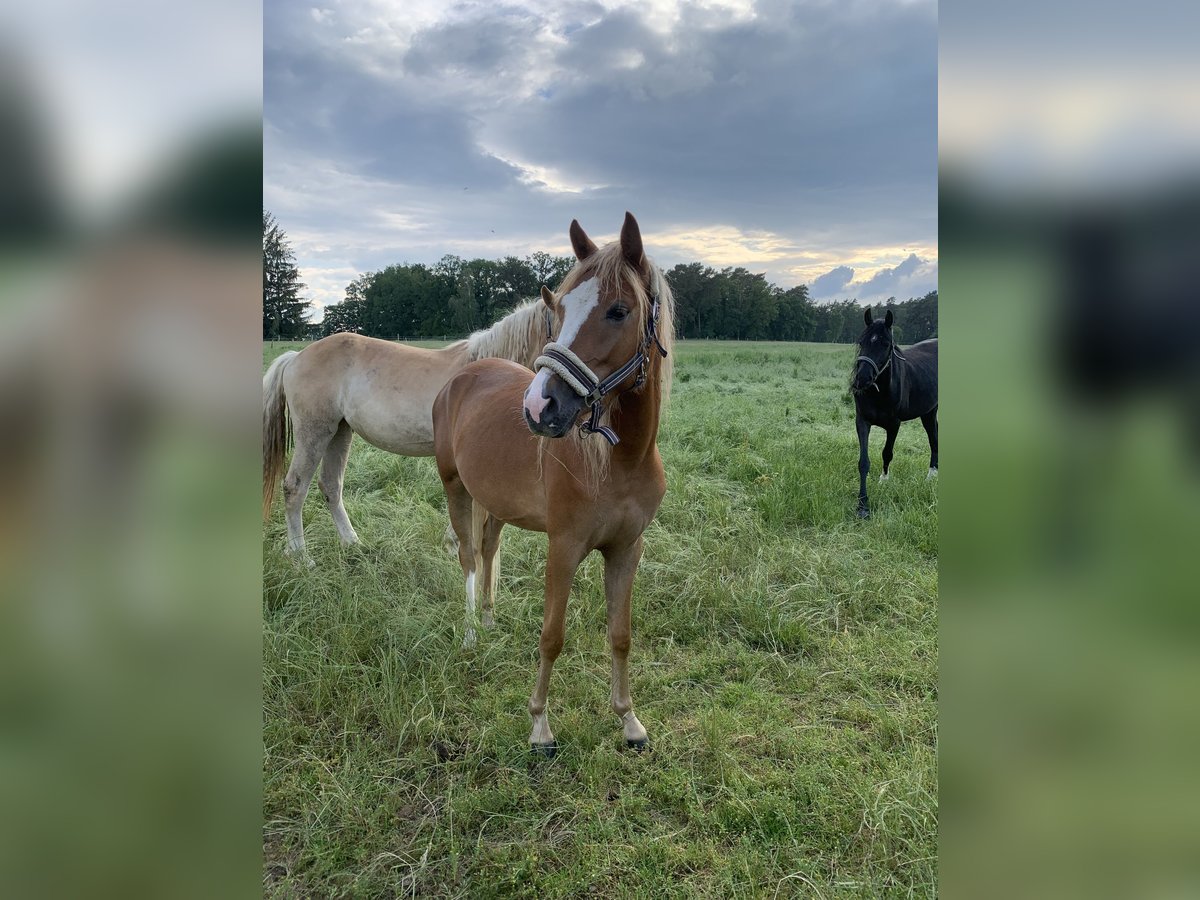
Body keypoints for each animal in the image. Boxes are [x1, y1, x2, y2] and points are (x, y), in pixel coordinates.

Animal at [432, 214, 676, 758]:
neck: (618, 462)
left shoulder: (627, 548)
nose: (539, 407)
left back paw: (490, 620)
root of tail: (463, 376)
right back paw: (471, 634)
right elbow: (552, 636)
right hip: (456, 488)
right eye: (558, 309)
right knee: (467, 558)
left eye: (619, 310)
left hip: (495, 502)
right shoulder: (563, 548)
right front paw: (540, 726)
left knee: (487, 547)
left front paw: (629, 721)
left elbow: (620, 634)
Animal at [849, 309, 940, 518]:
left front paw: (883, 481)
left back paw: (931, 476)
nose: (861, 380)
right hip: (928, 412)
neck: (878, 391)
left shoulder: (894, 425)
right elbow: (863, 462)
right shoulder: (862, 422)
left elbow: (887, 453)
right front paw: (862, 505)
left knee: (933, 439)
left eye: (885, 344)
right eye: (861, 342)